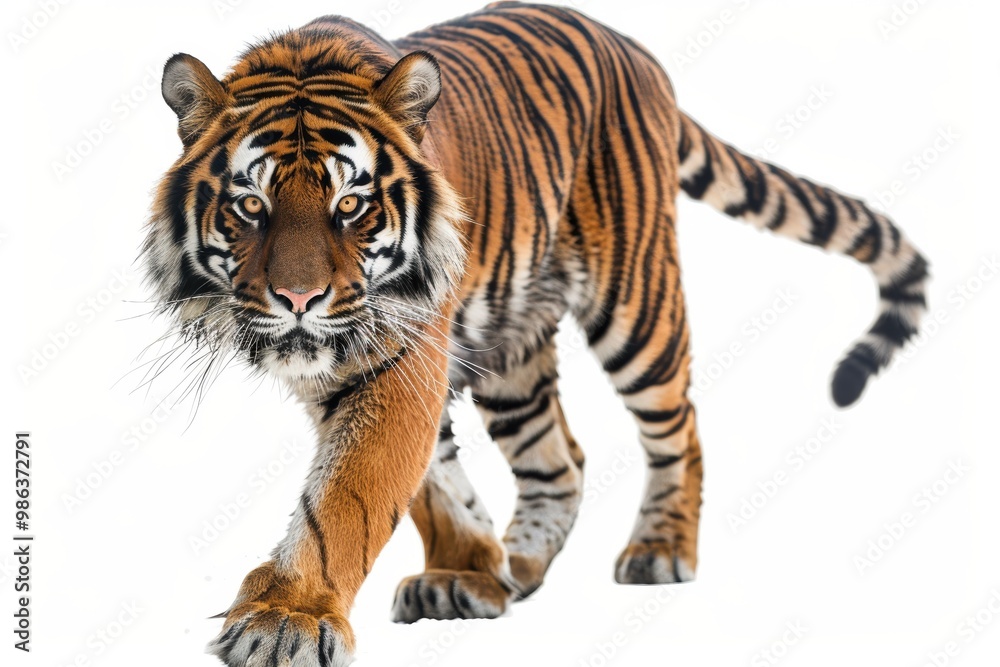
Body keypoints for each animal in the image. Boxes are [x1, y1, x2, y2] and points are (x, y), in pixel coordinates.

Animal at [143, 2, 929, 665]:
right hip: (512, 352)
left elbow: (348, 496)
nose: (299, 299)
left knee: (681, 428)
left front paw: (288, 620)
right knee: (562, 459)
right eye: (251, 205)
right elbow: (428, 481)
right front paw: (467, 570)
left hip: (637, 307)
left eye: (351, 205)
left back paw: (660, 548)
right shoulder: (367, 372)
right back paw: (516, 566)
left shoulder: (400, 356)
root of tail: (634, 48)